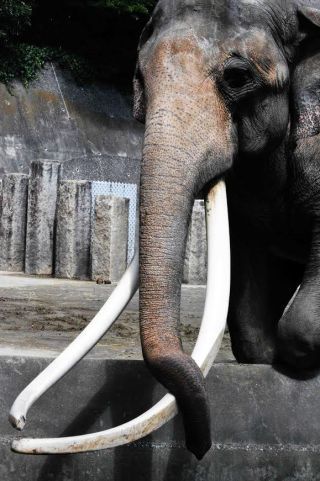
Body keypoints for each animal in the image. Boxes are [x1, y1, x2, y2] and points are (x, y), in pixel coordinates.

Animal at [7, 0, 320, 462]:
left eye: (238, 77)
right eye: (139, 80)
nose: (19, 426)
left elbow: (300, 325)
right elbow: (249, 321)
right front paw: (265, 355)